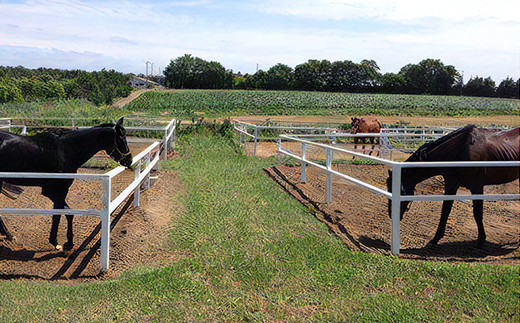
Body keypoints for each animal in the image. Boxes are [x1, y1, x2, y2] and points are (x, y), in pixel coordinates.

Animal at [0, 117, 133, 252]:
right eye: (121, 138)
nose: (129, 160)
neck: (65, 152)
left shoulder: (54, 192)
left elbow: (68, 213)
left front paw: (67, 242)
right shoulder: (57, 191)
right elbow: (59, 214)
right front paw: (58, 242)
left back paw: (8, 235)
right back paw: (9, 235)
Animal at [388, 125, 516, 247]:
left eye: (402, 191)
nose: (392, 214)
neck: (460, 151)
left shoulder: (477, 187)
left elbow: (477, 213)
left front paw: (480, 240)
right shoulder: (451, 184)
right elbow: (445, 210)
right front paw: (435, 239)